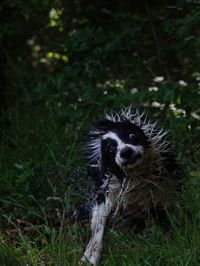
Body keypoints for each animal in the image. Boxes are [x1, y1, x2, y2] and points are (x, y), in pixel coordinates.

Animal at [73, 107, 184, 264]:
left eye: (132, 135)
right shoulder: (106, 191)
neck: (137, 175)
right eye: (111, 148)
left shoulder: (166, 183)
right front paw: (90, 256)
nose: (125, 151)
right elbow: (98, 225)